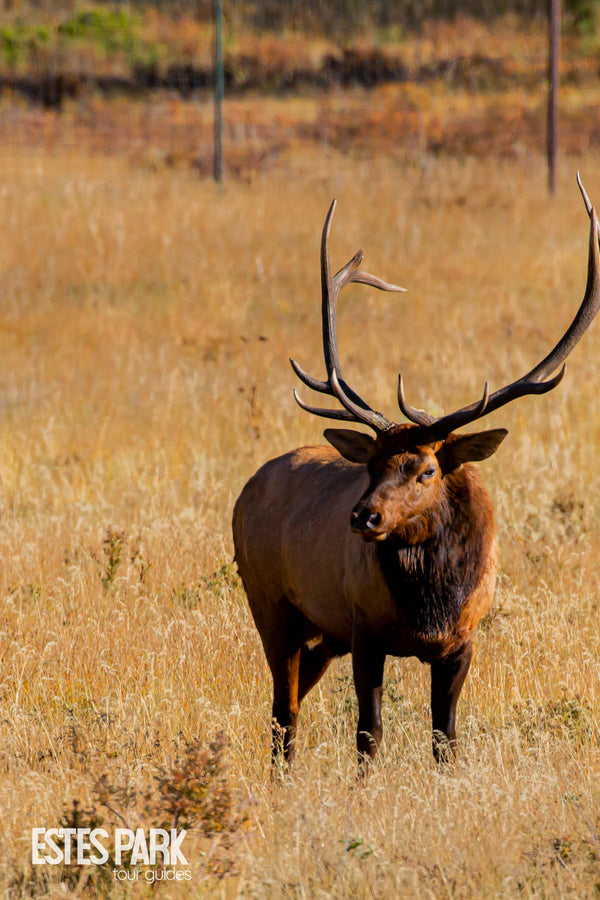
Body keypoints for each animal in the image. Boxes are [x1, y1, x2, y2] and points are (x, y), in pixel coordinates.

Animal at [232, 177, 600, 770]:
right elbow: (369, 731)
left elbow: (444, 736)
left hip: (319, 636)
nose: (364, 517)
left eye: (427, 470)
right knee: (282, 712)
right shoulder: (363, 628)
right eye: (371, 465)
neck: (431, 605)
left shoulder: (463, 638)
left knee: (286, 705)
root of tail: (248, 487)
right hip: (272, 605)